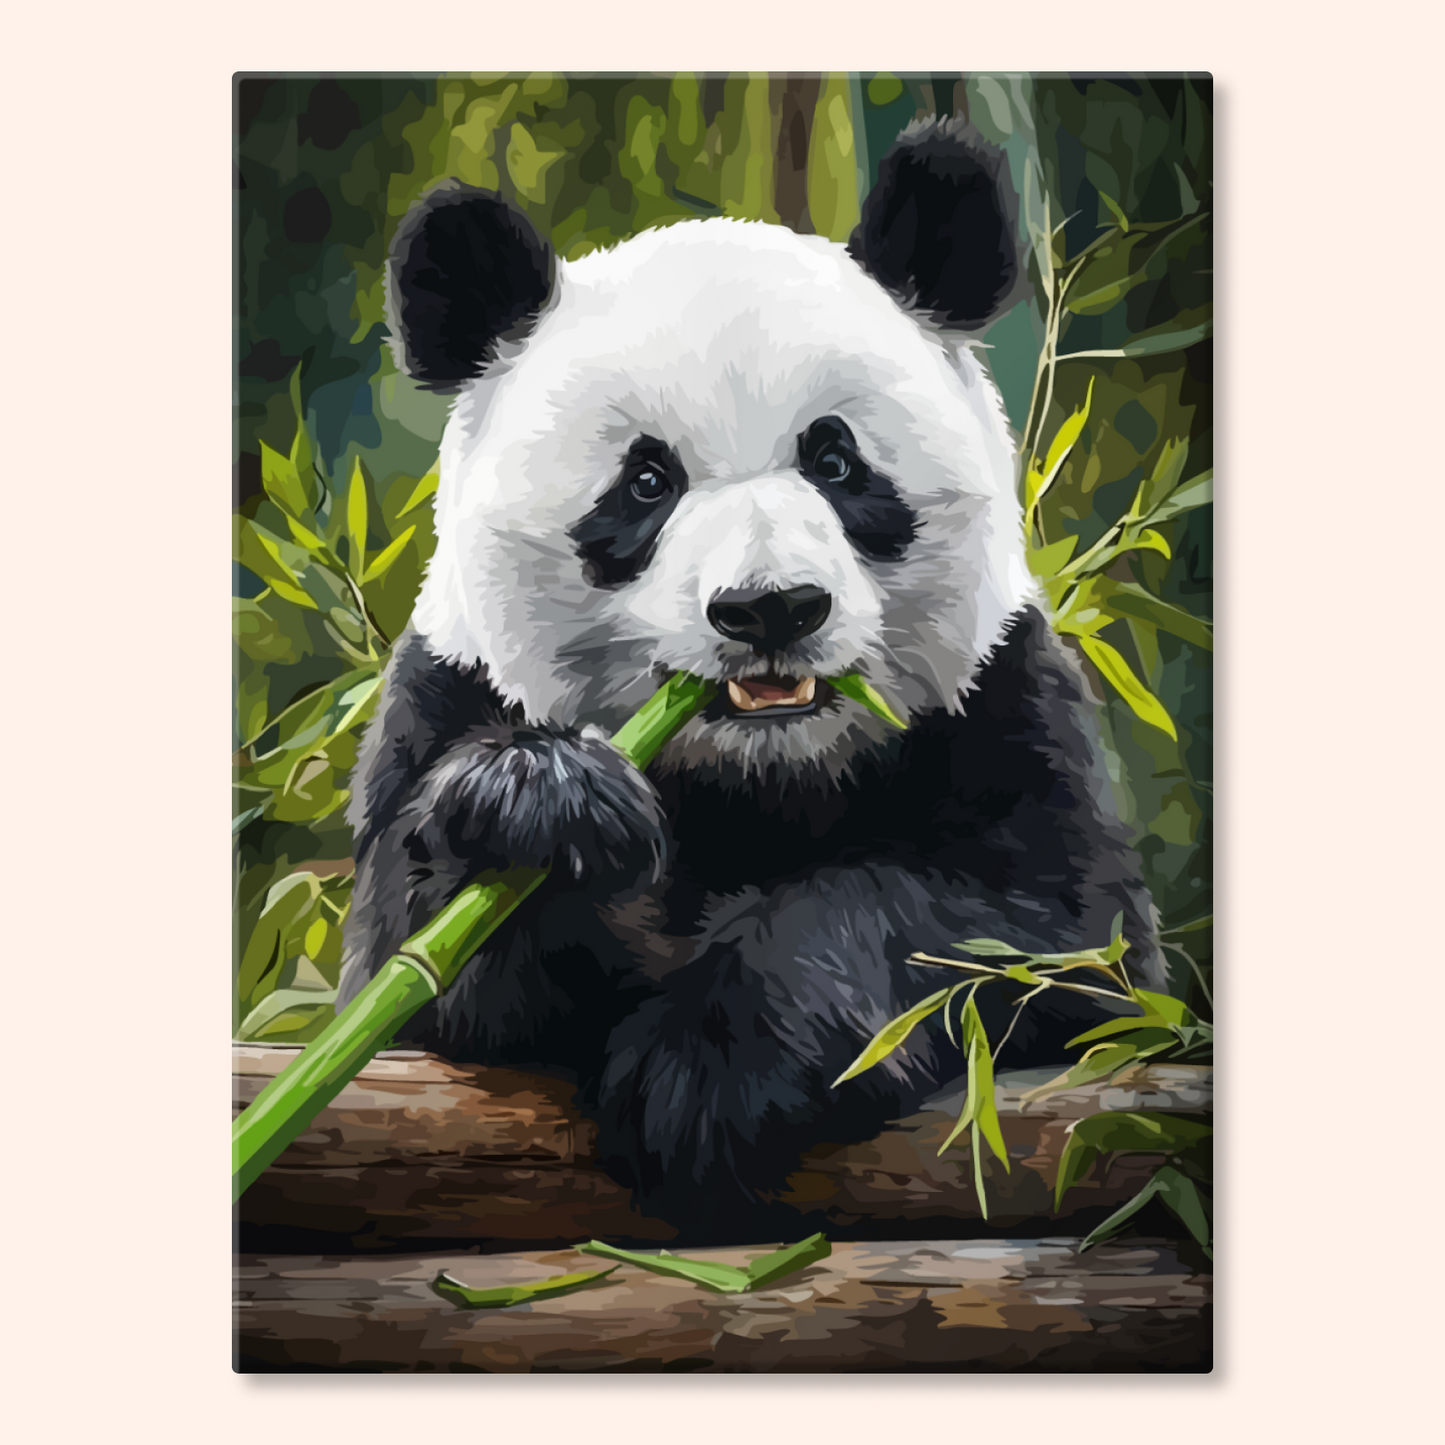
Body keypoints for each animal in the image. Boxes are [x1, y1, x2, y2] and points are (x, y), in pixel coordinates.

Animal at [338, 116, 1164, 1240]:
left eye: (835, 462)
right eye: (645, 482)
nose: (770, 608)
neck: (758, 772)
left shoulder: (1002, 698)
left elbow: (1047, 938)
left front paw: (711, 1069)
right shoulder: (450, 691)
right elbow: (418, 975)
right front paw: (540, 807)